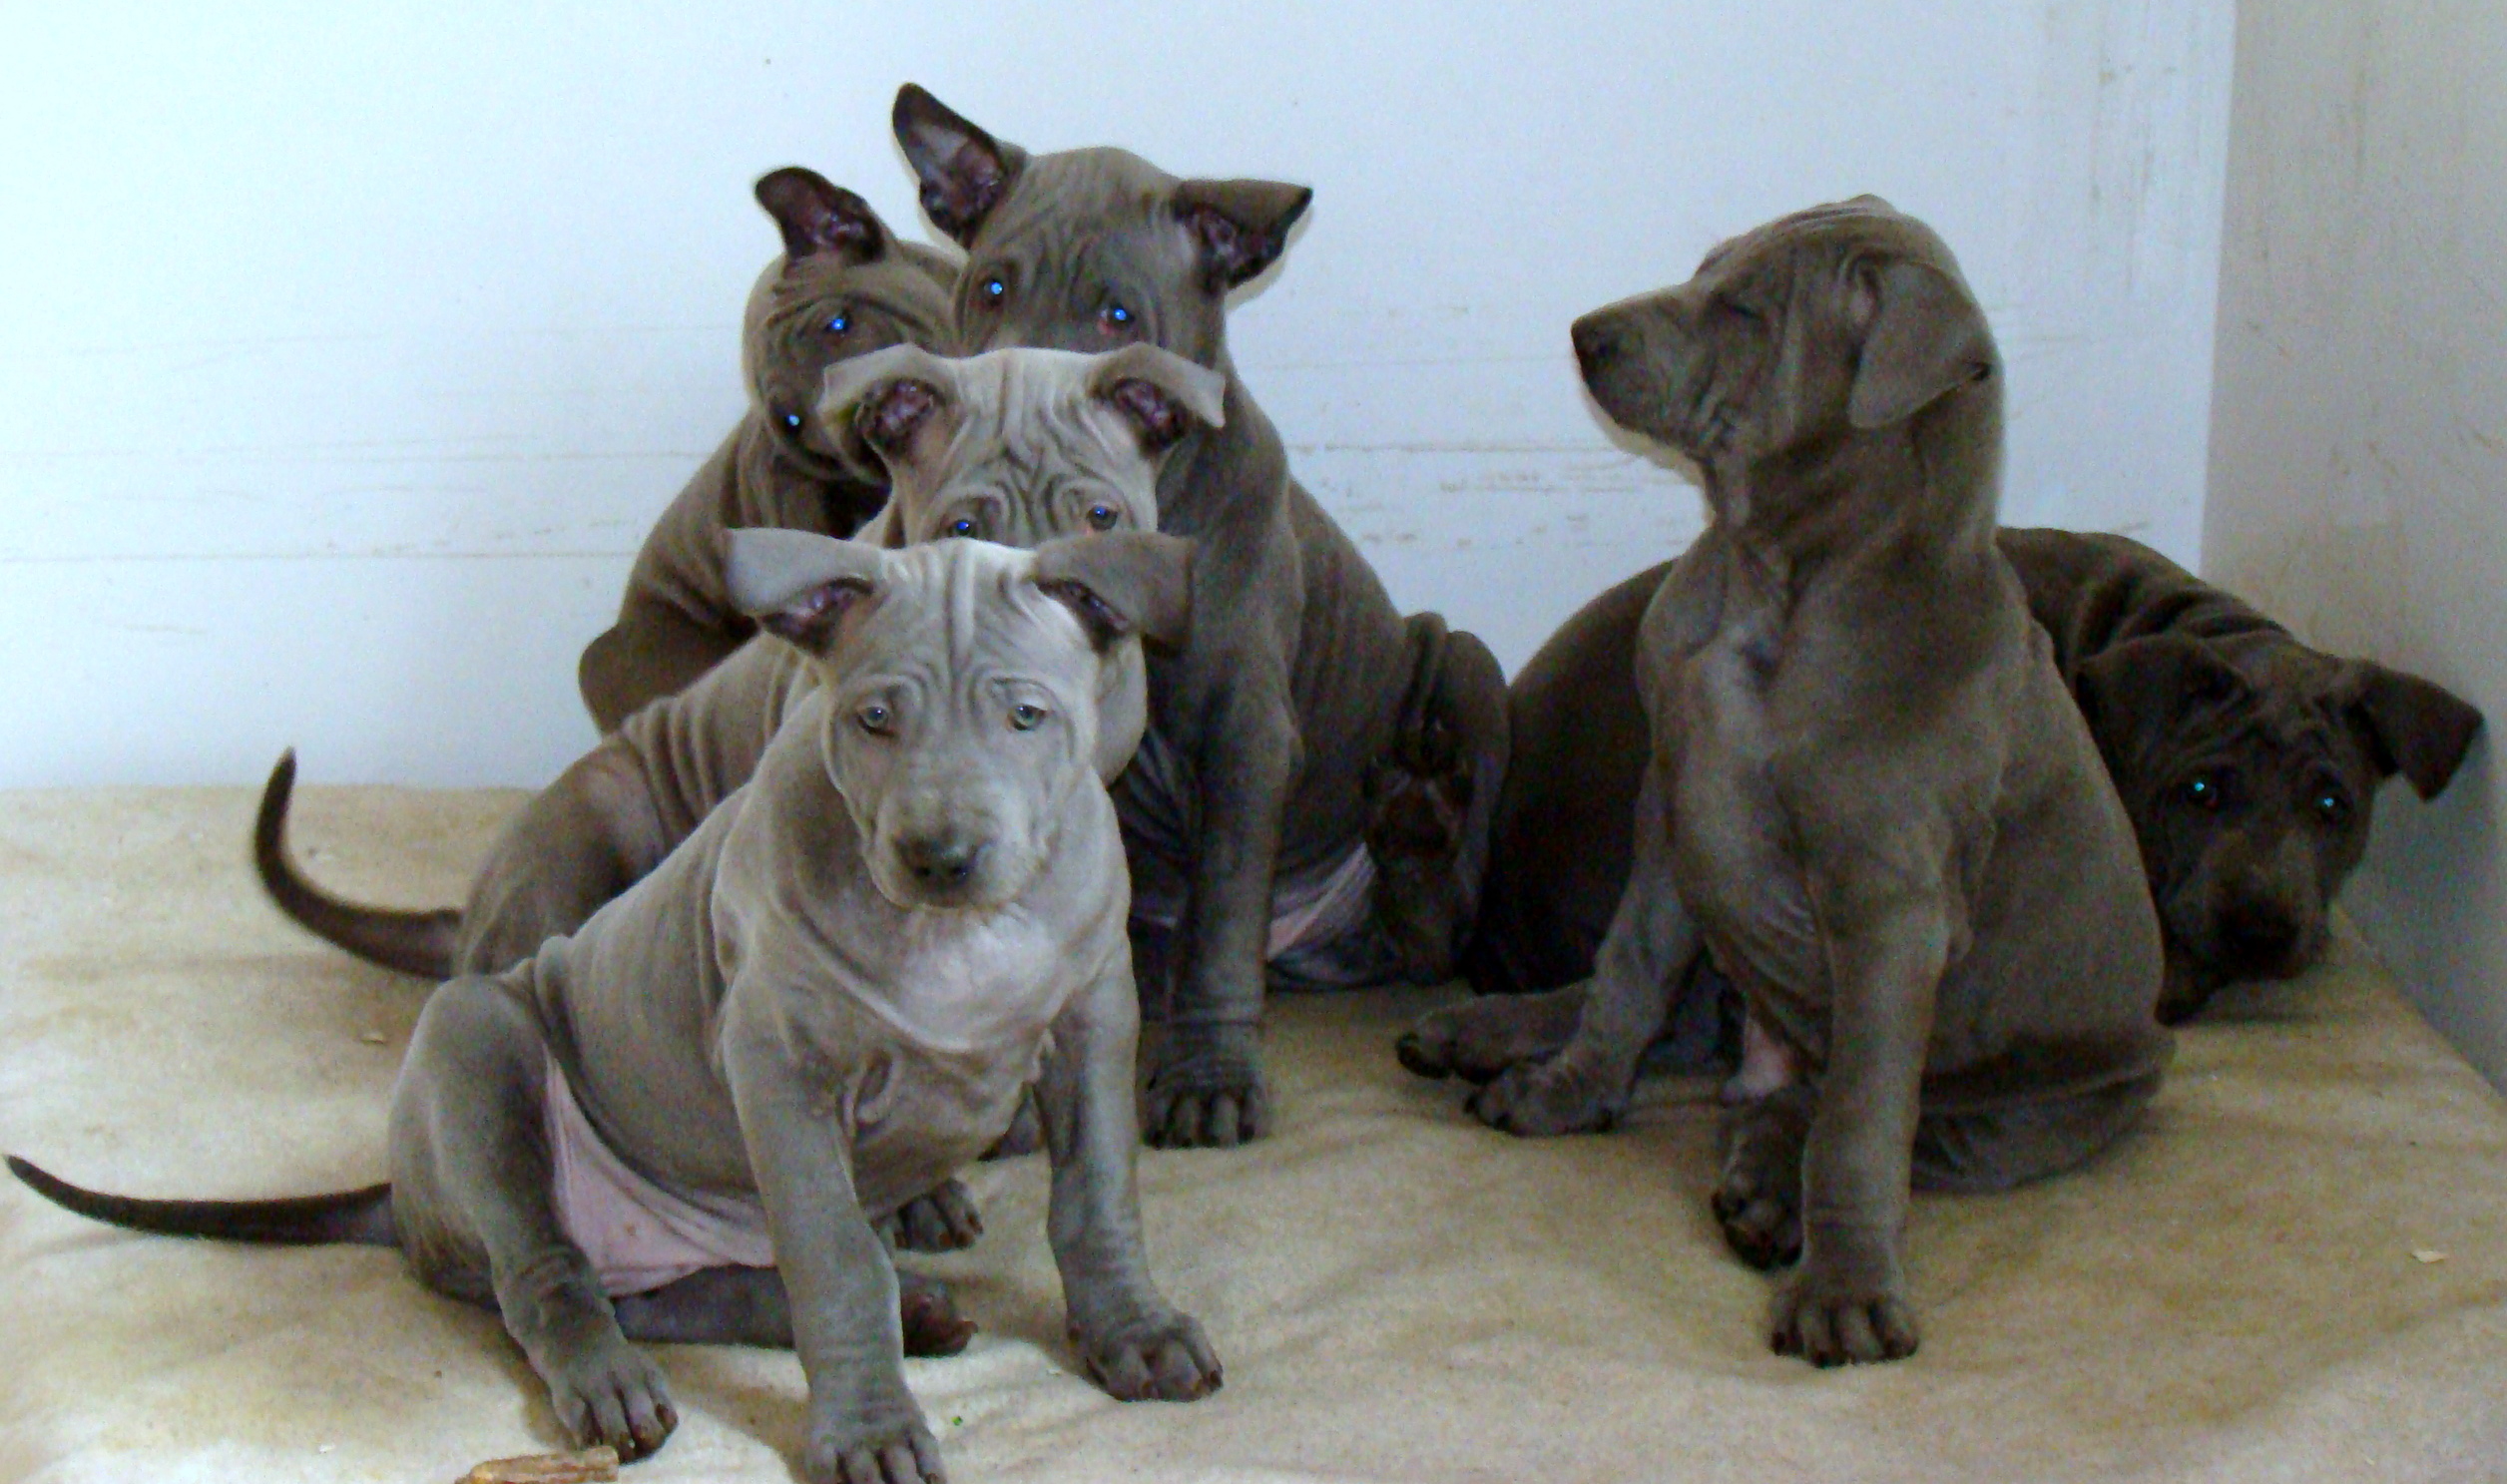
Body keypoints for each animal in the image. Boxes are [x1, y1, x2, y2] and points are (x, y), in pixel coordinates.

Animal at [15, 531, 1214, 1483]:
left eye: (1027, 715)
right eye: (874, 717)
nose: (941, 856)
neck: (960, 940)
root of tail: (401, 1200)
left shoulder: (1095, 1024)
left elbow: (1097, 1198)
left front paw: (1133, 1329)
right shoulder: (781, 1070)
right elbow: (836, 1258)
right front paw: (868, 1429)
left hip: (669, 1233)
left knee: (676, 1291)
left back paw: (905, 1306)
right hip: (478, 1043)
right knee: (548, 1277)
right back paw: (613, 1383)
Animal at [891, 83, 1511, 1148]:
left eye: (1118, 315)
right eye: (992, 289)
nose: (1016, 402)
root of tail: (1305, 941)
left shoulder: (1243, 729)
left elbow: (1224, 917)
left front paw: (1210, 1078)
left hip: (1464, 666)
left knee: (1435, 928)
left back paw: (1415, 831)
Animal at [1400, 199, 2172, 1367]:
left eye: (1748, 311)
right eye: (1703, 269)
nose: (1584, 334)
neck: (1775, 575)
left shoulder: (1889, 908)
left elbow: (1861, 1119)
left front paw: (1843, 1288)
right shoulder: (1674, 816)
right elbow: (1626, 970)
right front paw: (1569, 1091)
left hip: (2060, 1092)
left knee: (1867, 1116)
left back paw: (1769, 1187)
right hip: (1726, 954)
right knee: (1687, 1031)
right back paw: (1486, 1029)